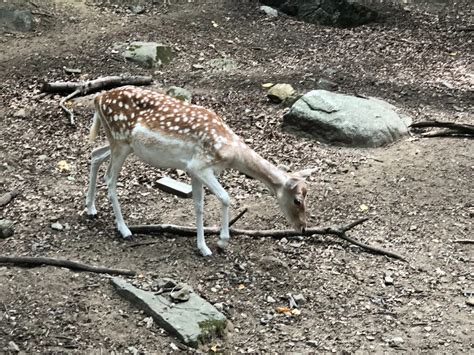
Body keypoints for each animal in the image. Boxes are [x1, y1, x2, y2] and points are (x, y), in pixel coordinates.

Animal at [87, 87, 314, 258]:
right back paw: (124, 229)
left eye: (306, 196)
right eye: (297, 201)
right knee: (110, 178)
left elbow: (198, 205)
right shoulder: (200, 166)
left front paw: (203, 247)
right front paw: (221, 242)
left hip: (120, 143)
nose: (303, 228)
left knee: (95, 153)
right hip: (120, 141)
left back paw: (90, 208)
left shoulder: (193, 170)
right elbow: (225, 197)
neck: (231, 151)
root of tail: (98, 98)